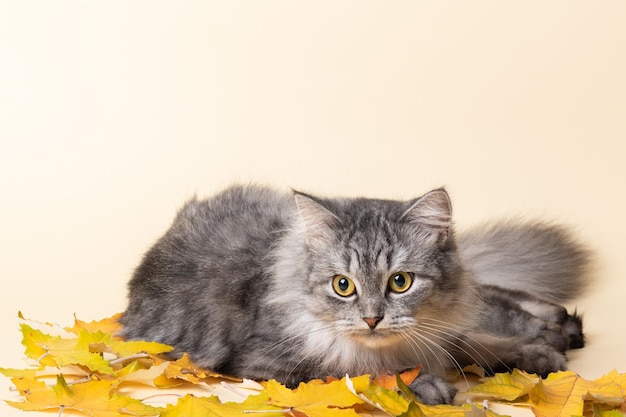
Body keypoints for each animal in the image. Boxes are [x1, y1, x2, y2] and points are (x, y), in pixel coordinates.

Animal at [118, 184, 588, 404]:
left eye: (400, 282)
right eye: (343, 286)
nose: (372, 319)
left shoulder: (434, 332)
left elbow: (479, 344)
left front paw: (533, 355)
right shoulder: (269, 365)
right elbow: (358, 371)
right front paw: (425, 385)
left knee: (489, 294)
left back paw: (556, 326)